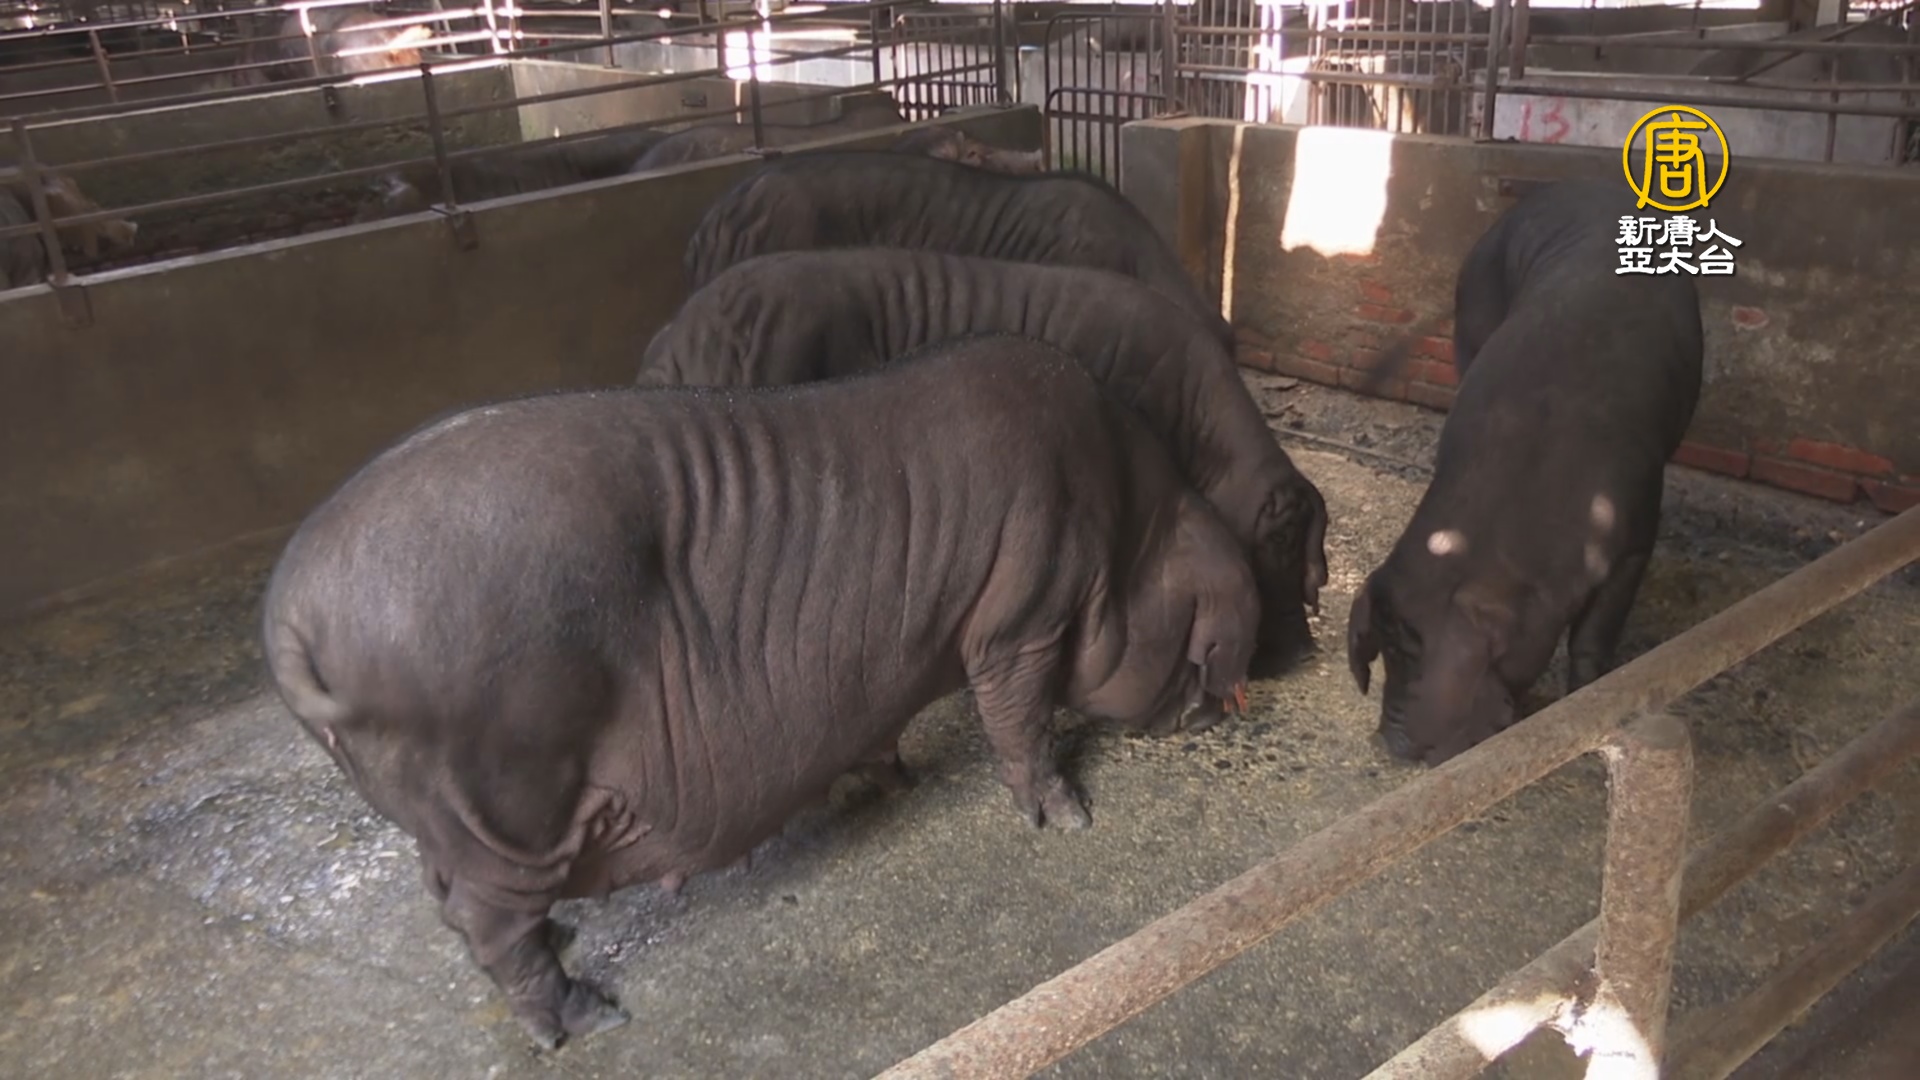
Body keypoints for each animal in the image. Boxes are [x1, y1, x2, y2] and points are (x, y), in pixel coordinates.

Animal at [261, 334, 1259, 1048]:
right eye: (1202, 644)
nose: (1221, 703)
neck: (1126, 529)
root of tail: (291, 618)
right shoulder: (1021, 617)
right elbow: (1020, 718)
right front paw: (1071, 820)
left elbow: (886, 726)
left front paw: (894, 780)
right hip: (509, 776)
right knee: (486, 916)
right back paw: (588, 1021)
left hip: (452, 808)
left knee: (452, 898)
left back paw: (568, 949)